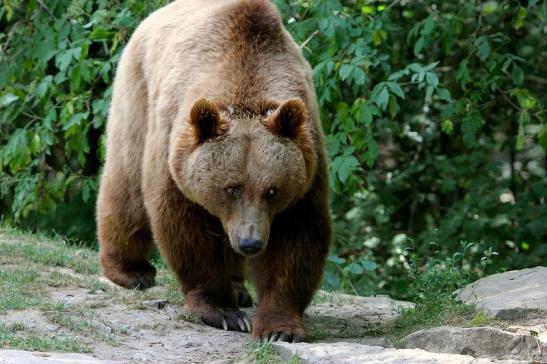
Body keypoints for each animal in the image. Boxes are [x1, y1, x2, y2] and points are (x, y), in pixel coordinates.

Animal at [96, 0, 332, 342]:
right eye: (231, 187)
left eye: (272, 190)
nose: (251, 243)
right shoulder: (174, 148)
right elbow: (184, 226)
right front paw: (222, 312)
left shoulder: (307, 162)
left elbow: (297, 237)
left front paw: (279, 328)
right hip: (137, 90)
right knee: (126, 183)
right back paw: (130, 270)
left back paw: (238, 288)